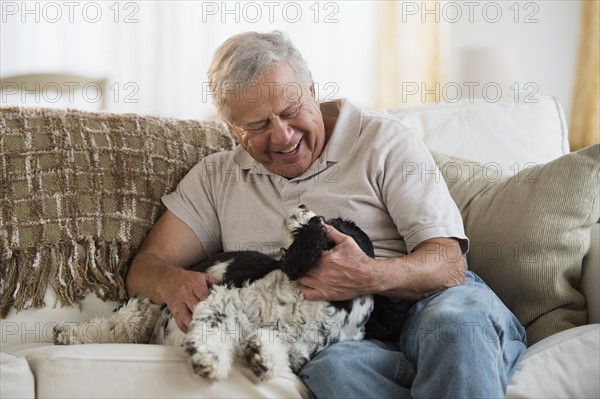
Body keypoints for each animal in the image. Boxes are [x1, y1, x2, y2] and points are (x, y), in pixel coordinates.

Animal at [54, 206, 410, 382]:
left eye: (321, 219)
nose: (300, 205)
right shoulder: (222, 299)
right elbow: (214, 329)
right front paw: (210, 359)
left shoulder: (303, 346)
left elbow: (280, 348)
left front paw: (262, 356)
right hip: (148, 303)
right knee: (115, 326)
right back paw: (69, 333)